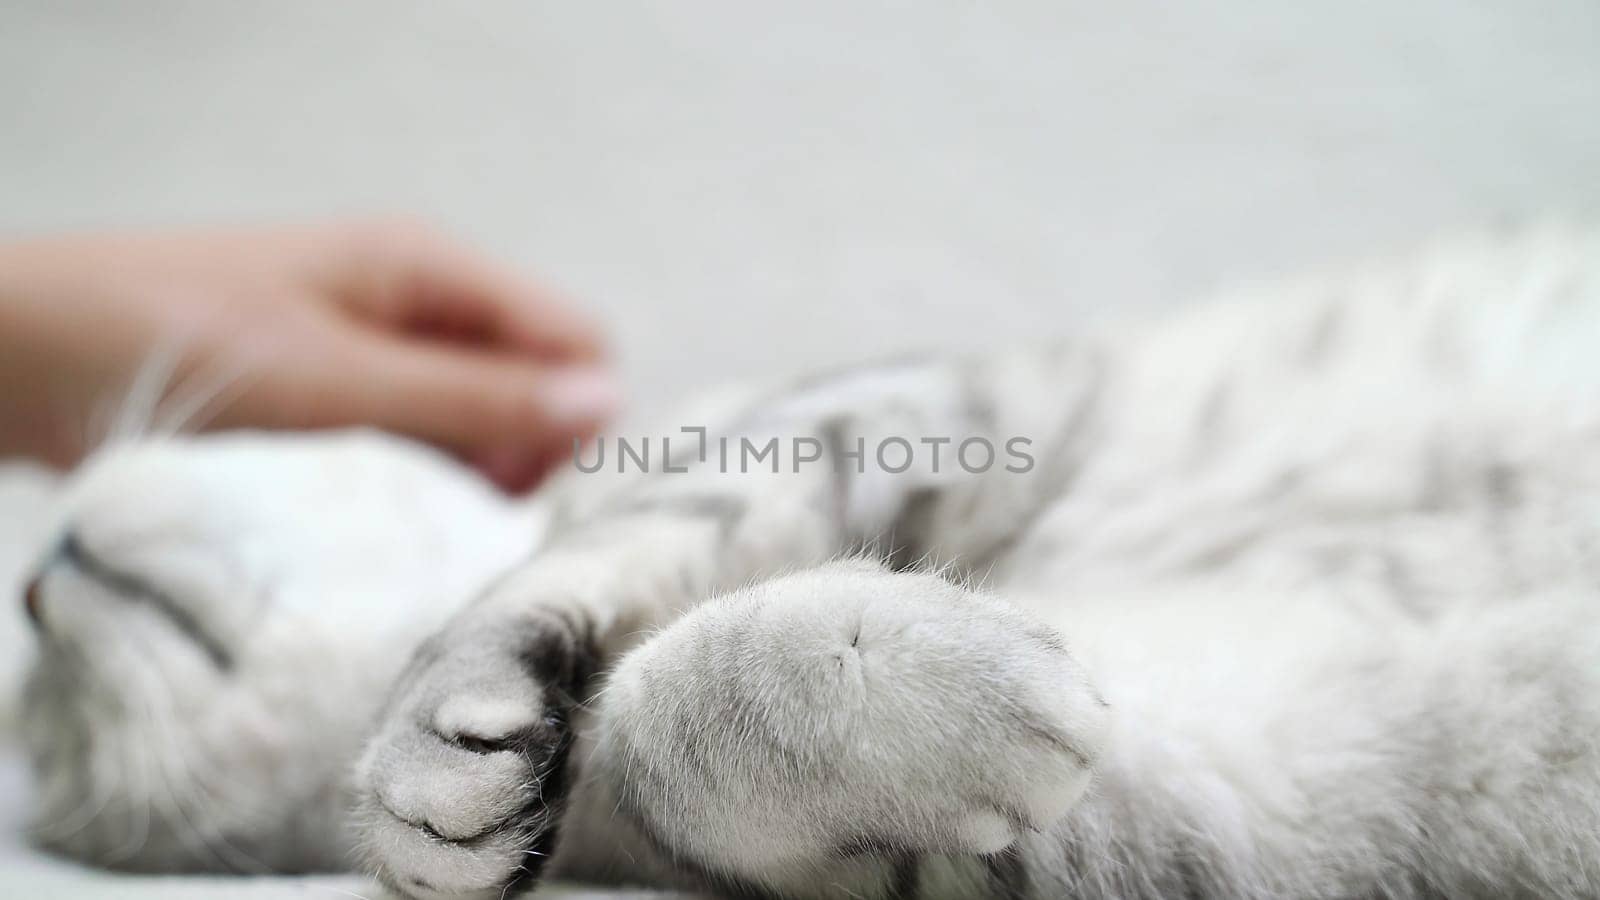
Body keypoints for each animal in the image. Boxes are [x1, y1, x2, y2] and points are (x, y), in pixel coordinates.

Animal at [18, 225, 1600, 896]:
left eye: (35, 716)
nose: (32, 587)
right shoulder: (1247, 774)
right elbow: (667, 733)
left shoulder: (870, 415)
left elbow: (578, 598)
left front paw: (428, 739)